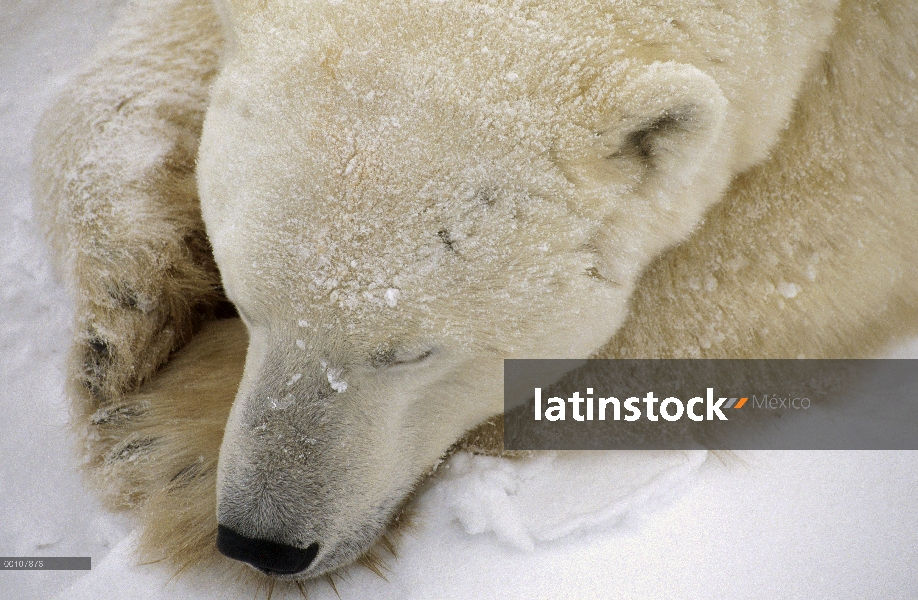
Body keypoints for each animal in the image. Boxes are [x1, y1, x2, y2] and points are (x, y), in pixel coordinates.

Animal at [32, 0, 918, 584]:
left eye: (411, 352)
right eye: (248, 305)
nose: (263, 543)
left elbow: (821, 223)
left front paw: (171, 448)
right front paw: (123, 315)